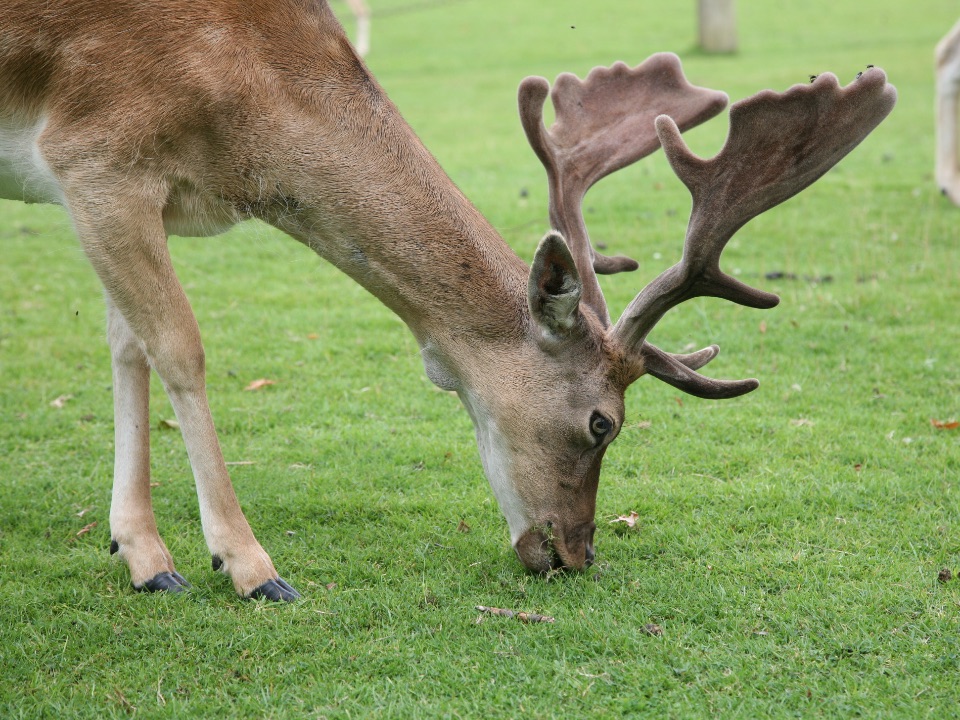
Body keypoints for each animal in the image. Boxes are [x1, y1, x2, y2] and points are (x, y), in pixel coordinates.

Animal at [1, 0, 900, 600]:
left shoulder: (120, 193)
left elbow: (127, 346)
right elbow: (179, 349)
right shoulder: (95, 153)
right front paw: (247, 566)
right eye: (603, 423)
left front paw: (141, 554)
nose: (577, 554)